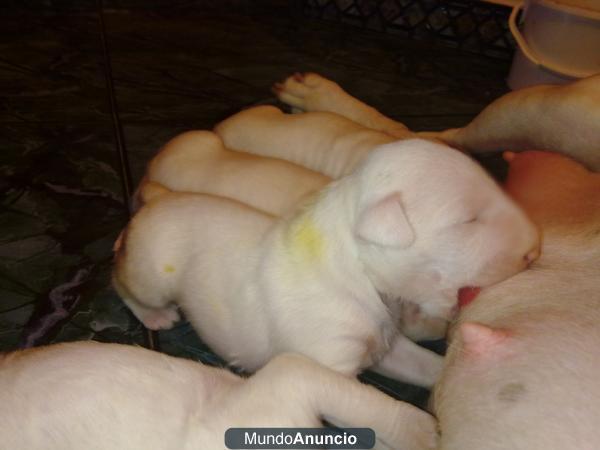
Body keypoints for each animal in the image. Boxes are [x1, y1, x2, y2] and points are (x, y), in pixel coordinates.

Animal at [112, 139, 540, 388]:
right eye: (469, 220)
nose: (535, 250)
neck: (358, 275)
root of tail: (158, 195)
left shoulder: (386, 346)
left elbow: (423, 365)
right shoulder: (330, 361)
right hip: (150, 271)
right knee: (120, 278)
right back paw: (155, 316)